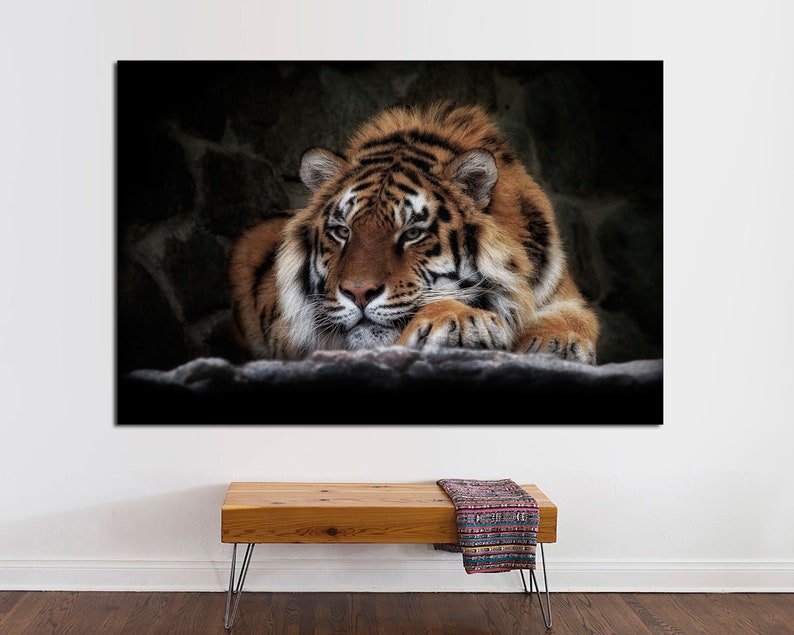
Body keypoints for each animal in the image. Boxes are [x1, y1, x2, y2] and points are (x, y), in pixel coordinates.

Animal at [229, 101, 599, 364]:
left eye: (412, 233)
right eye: (342, 231)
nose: (358, 292)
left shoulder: (562, 294)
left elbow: (573, 318)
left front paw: (555, 342)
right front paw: (461, 320)